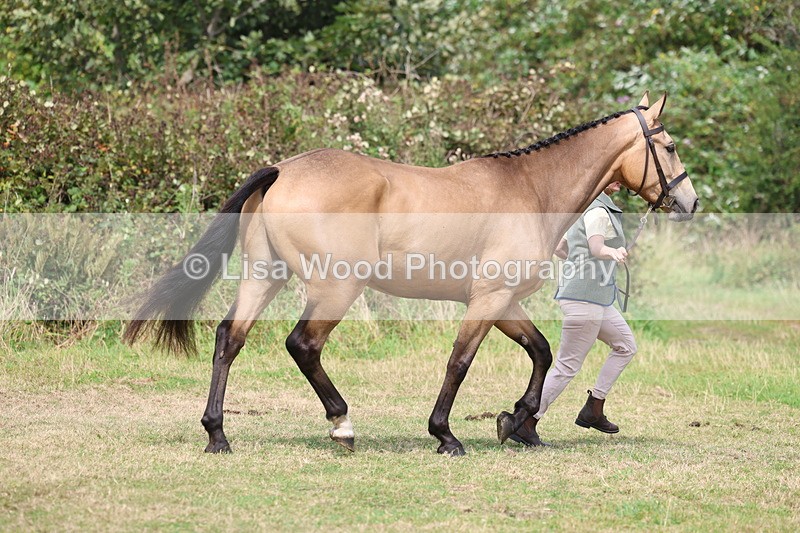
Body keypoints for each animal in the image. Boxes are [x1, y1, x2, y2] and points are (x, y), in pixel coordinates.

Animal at [124, 92, 698, 456]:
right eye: (669, 147)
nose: (690, 202)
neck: (531, 190)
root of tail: (283, 170)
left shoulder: (503, 301)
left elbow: (540, 352)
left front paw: (519, 423)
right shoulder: (488, 301)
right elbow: (460, 363)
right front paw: (447, 435)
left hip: (266, 276)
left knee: (230, 337)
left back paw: (217, 435)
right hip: (336, 287)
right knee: (302, 345)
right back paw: (342, 425)